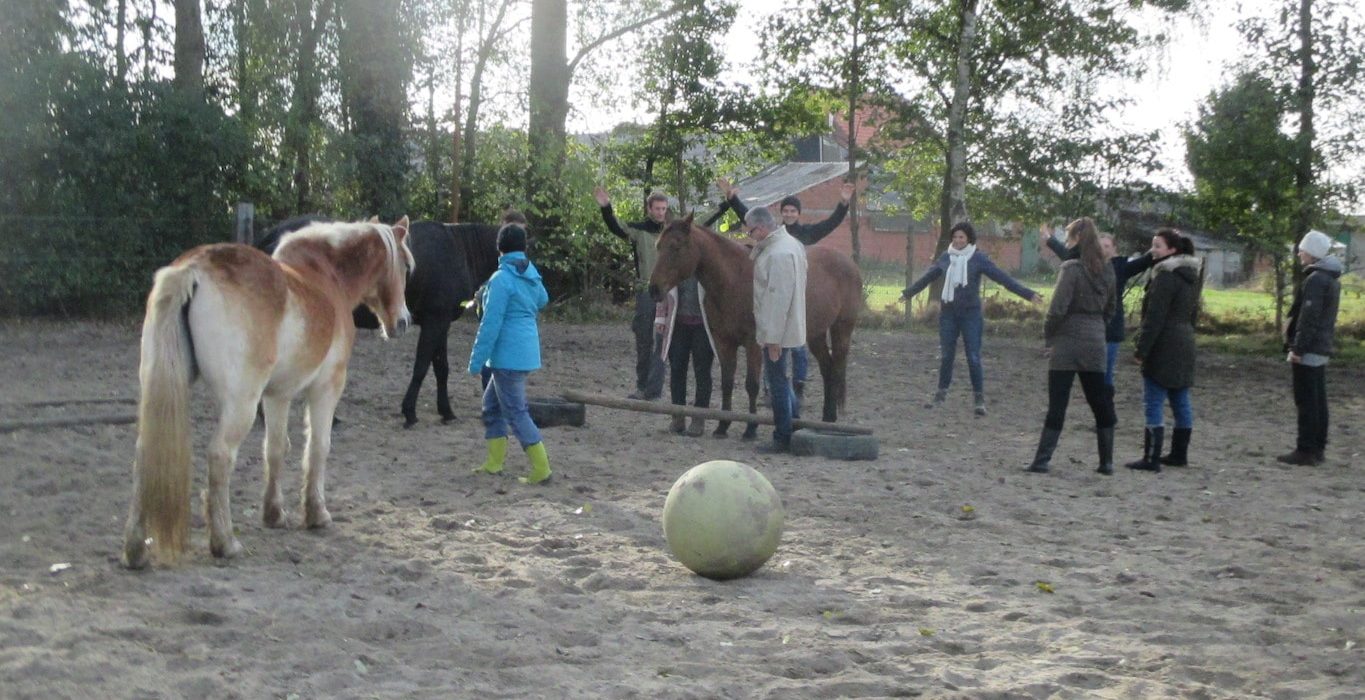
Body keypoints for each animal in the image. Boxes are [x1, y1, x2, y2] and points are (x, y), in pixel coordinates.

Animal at [121, 217, 413, 569]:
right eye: (406, 266)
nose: (403, 322)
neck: (328, 278)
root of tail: (194, 269)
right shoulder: (327, 387)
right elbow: (318, 447)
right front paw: (317, 514)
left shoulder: (277, 396)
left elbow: (275, 449)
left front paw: (274, 514)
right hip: (242, 405)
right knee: (220, 456)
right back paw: (225, 543)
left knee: (145, 454)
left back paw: (136, 550)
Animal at [258, 217, 500, 427]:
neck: (460, 251)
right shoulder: (435, 322)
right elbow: (422, 367)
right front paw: (410, 412)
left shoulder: (442, 324)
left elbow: (441, 368)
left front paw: (446, 411)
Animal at [648, 215, 862, 437]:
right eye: (658, 246)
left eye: (676, 247)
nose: (653, 289)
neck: (733, 279)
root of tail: (849, 263)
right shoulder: (724, 342)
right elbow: (727, 383)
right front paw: (722, 426)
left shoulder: (753, 344)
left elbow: (751, 385)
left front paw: (751, 428)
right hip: (815, 335)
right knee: (827, 369)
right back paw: (827, 419)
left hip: (841, 330)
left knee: (836, 369)